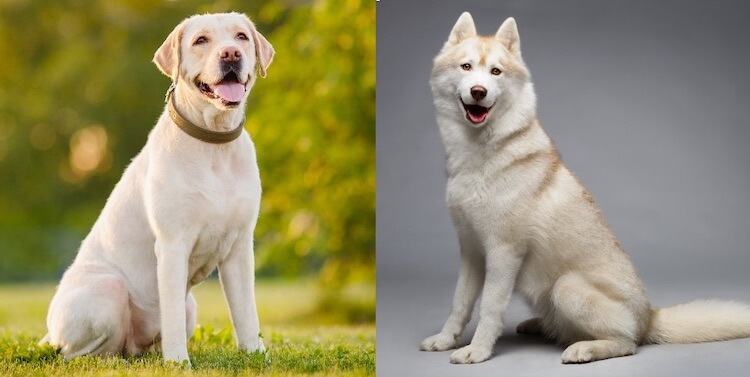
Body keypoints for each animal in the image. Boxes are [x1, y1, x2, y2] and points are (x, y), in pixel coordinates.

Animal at [41, 13, 276, 366]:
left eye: (241, 37)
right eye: (201, 40)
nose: (231, 54)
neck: (214, 144)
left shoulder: (239, 247)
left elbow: (246, 312)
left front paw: (256, 355)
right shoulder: (173, 244)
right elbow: (172, 314)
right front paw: (179, 362)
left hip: (190, 306)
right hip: (108, 290)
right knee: (78, 351)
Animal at [420, 12, 750, 364]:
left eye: (496, 72)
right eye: (466, 67)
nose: (479, 91)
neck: (478, 156)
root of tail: (649, 315)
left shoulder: (503, 251)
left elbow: (490, 308)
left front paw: (478, 350)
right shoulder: (471, 250)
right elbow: (460, 303)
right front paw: (446, 340)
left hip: (566, 287)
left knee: (627, 343)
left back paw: (585, 348)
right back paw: (540, 325)